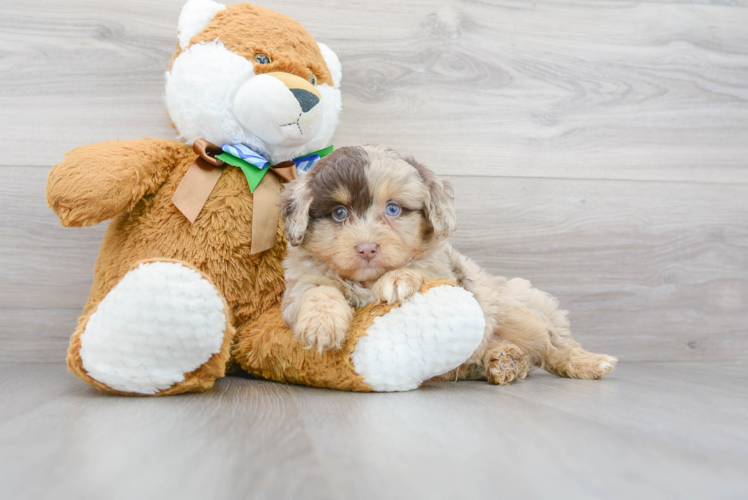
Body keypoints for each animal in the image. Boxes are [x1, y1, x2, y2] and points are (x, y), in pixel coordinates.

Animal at [278, 144, 616, 382]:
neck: (366, 280)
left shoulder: (444, 272)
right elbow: (317, 291)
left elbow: (419, 268)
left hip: (518, 312)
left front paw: (398, 279)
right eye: (339, 213)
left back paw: (587, 362)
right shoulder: (301, 282)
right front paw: (322, 325)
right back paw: (503, 359)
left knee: (554, 346)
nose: (366, 248)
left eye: (393, 209)